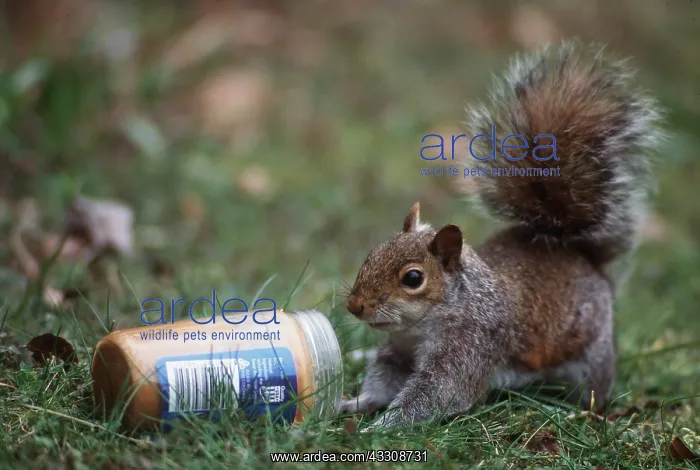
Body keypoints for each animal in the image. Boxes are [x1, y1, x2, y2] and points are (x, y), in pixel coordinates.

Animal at [339, 41, 664, 429]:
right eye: (372, 254)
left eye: (413, 278)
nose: (354, 305)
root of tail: (585, 260)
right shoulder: (399, 352)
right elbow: (384, 381)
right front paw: (354, 403)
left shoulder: (470, 347)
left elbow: (439, 394)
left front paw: (377, 429)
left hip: (592, 355)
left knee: (595, 388)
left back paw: (583, 411)